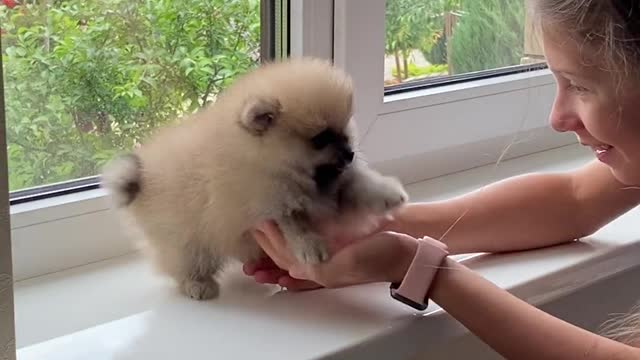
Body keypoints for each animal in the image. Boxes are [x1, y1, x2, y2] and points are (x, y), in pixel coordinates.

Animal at [102, 57, 408, 300]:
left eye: (344, 129)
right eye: (320, 139)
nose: (350, 153)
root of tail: (141, 182)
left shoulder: (334, 184)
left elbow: (360, 184)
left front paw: (389, 194)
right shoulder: (271, 202)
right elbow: (295, 223)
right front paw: (311, 246)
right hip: (186, 239)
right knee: (186, 263)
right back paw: (197, 285)